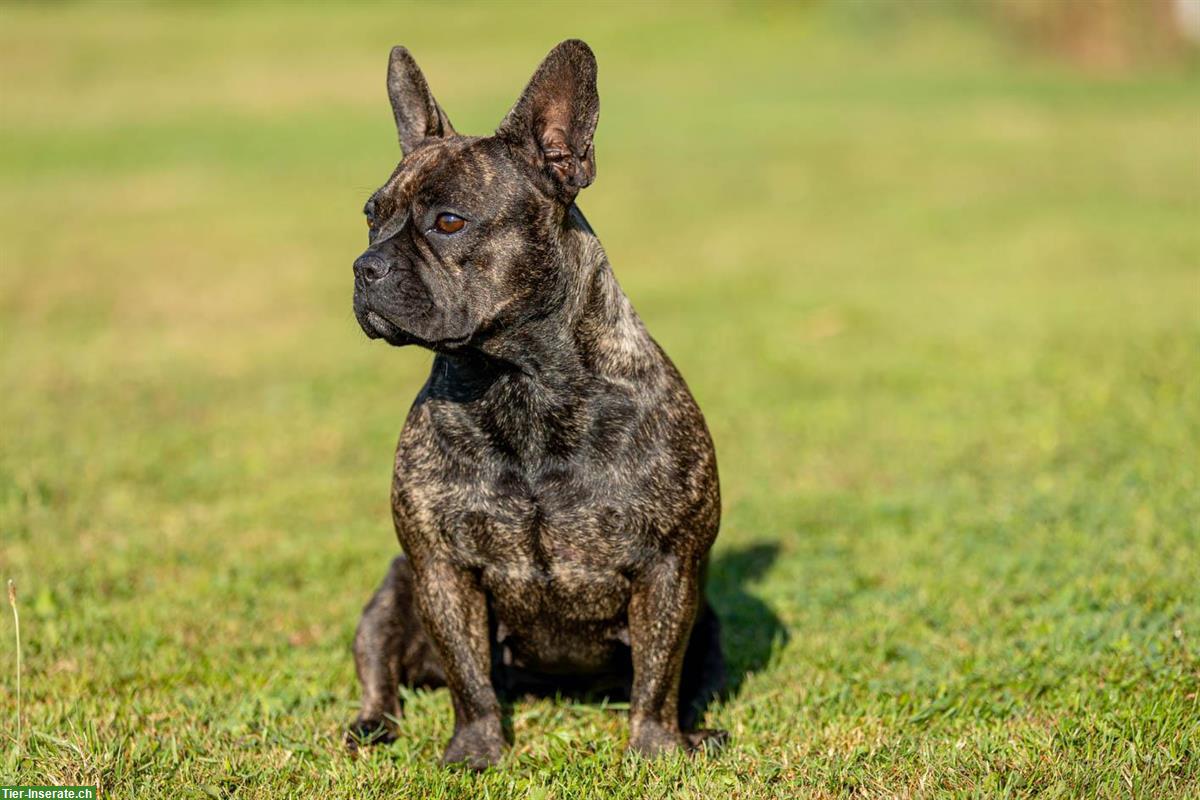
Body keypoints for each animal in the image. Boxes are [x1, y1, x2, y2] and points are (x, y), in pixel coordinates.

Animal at [348, 38, 720, 767]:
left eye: (449, 221)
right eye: (372, 218)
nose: (364, 266)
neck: (519, 382)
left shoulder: (670, 567)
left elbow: (659, 673)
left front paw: (656, 749)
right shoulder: (441, 570)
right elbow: (467, 676)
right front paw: (476, 752)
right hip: (389, 596)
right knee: (381, 669)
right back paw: (370, 725)